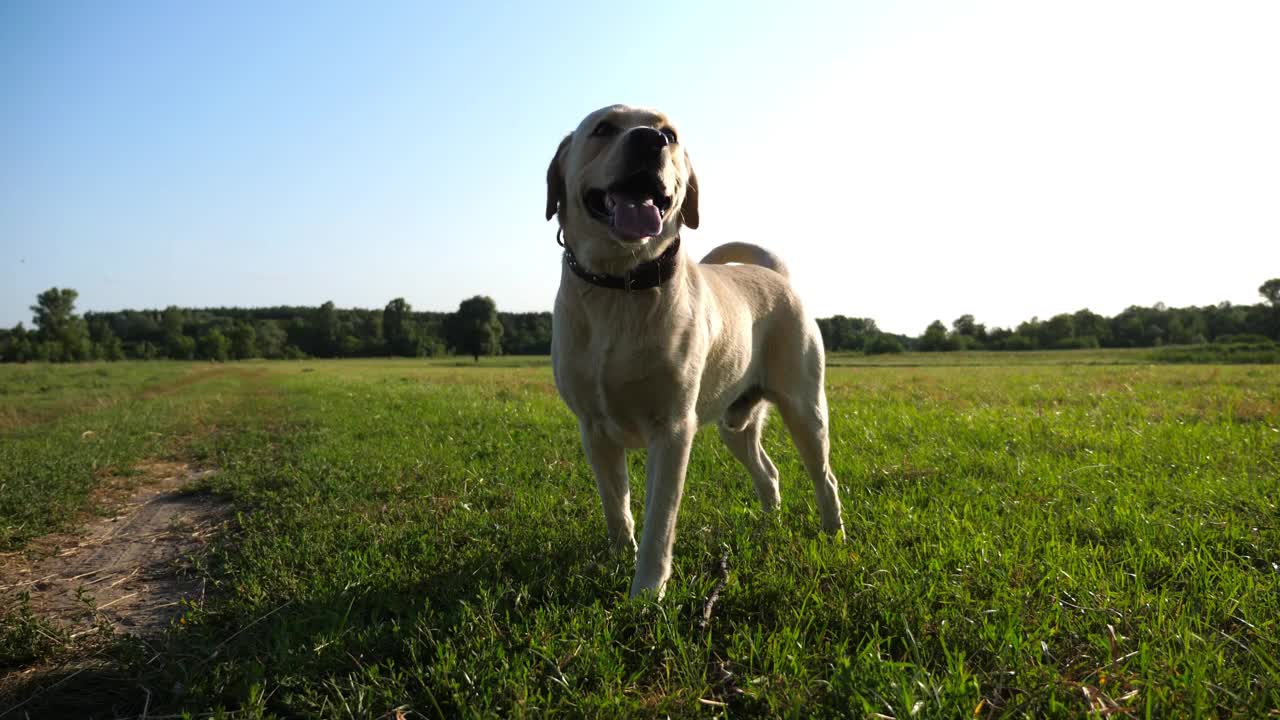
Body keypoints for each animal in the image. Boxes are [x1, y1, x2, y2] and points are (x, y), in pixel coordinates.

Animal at [545, 102, 844, 594]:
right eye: (603, 128)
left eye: (670, 134)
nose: (649, 139)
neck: (622, 285)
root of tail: (776, 275)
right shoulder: (594, 429)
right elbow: (616, 506)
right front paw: (618, 558)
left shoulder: (672, 429)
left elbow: (658, 521)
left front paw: (646, 593)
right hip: (734, 423)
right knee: (769, 472)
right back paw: (769, 525)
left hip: (805, 408)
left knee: (825, 478)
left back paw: (834, 535)